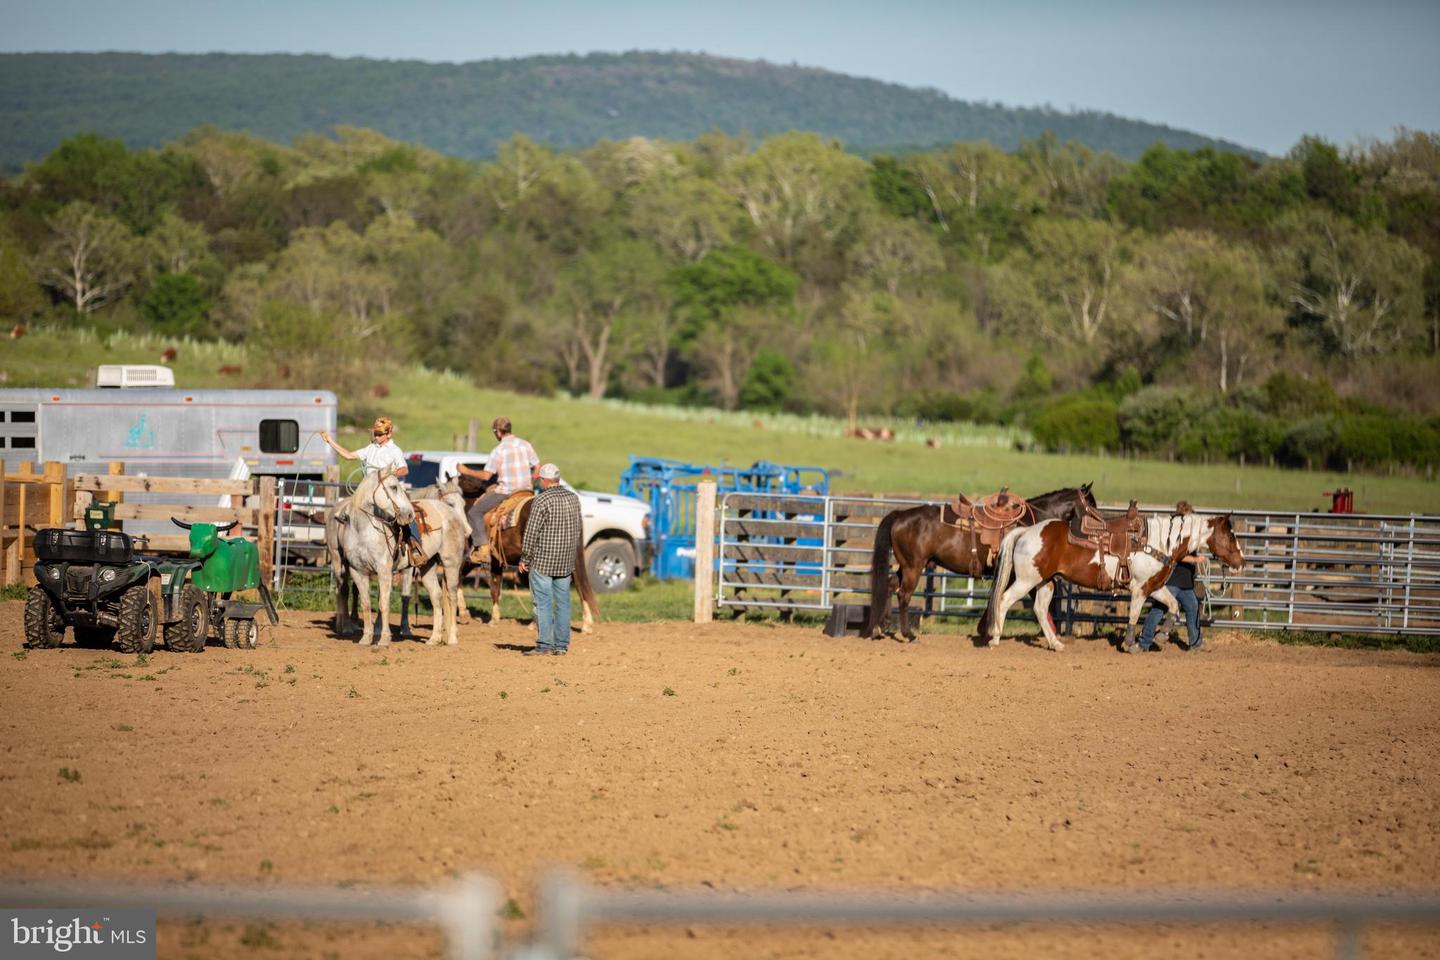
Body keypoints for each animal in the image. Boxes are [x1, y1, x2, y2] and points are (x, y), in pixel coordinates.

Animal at [858, 483, 1094, 641]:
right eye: (1092, 506)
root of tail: (900, 514)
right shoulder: (1019, 574)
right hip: (913, 567)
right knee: (904, 595)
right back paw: (907, 634)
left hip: (905, 566)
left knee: (890, 586)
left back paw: (882, 627)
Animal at [979, 509, 1249, 653]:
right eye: (1230, 535)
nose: (1242, 562)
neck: (1158, 542)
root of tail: (1026, 531)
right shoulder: (1139, 588)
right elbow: (1133, 616)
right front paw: (1130, 644)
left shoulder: (1155, 586)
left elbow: (1173, 606)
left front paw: (1161, 636)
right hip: (1027, 580)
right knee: (1004, 600)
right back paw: (994, 638)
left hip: (1046, 582)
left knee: (1039, 609)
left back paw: (1056, 644)